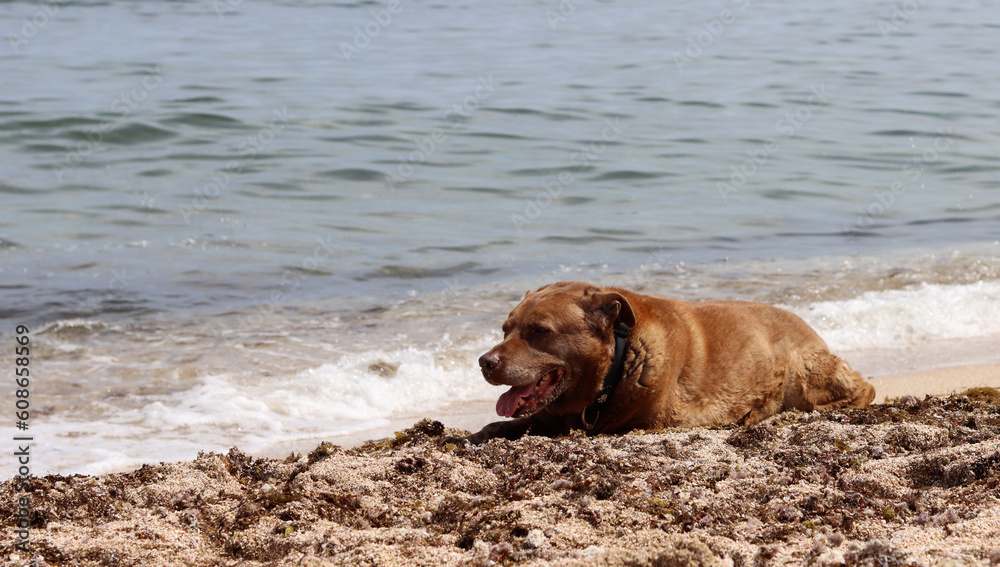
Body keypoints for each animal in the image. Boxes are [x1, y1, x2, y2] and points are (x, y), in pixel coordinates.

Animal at [468, 282, 876, 446]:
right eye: (505, 329)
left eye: (539, 331)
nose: (485, 361)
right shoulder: (545, 417)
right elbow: (497, 425)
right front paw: (473, 436)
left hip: (801, 368)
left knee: (864, 389)